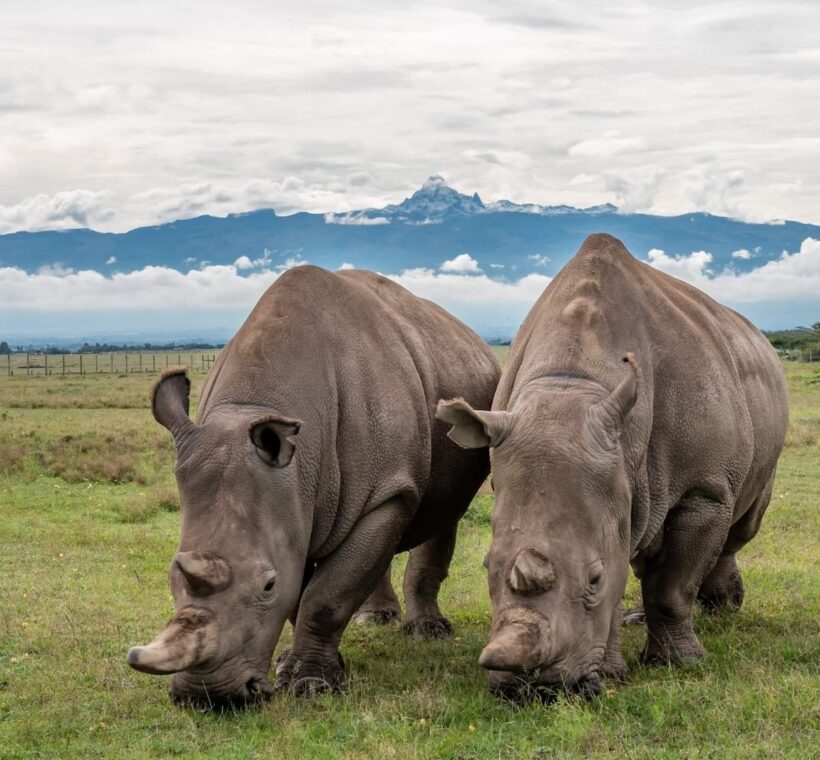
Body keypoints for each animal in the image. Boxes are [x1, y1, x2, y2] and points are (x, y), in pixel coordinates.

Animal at [127, 266, 499, 707]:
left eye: (267, 585)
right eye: (172, 577)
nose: (208, 697)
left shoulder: (383, 492)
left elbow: (325, 595)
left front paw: (312, 685)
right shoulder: (291, 500)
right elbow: (304, 589)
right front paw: (295, 666)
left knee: (441, 514)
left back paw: (427, 633)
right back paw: (374, 620)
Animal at [437, 233, 788, 698]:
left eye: (594, 579)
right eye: (486, 568)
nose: (532, 689)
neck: (573, 382)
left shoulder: (704, 490)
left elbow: (671, 587)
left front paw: (681, 663)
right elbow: (626, 564)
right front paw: (613, 673)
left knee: (740, 526)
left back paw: (721, 609)